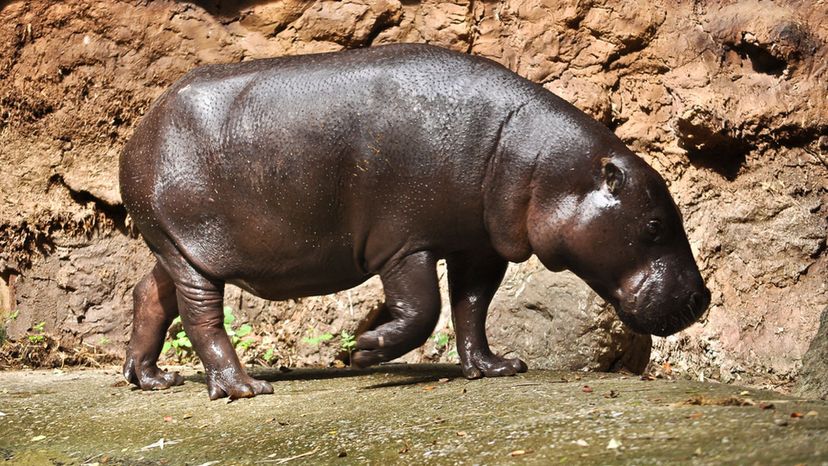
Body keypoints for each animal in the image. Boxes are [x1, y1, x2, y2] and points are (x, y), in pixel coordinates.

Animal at [120, 43, 710, 400]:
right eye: (654, 225)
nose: (702, 298)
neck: (541, 164)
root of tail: (139, 129)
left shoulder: (478, 246)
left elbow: (472, 308)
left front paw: (495, 368)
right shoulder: (405, 242)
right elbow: (425, 309)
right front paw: (363, 352)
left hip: (174, 247)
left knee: (150, 295)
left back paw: (151, 378)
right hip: (190, 249)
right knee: (201, 316)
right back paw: (243, 388)